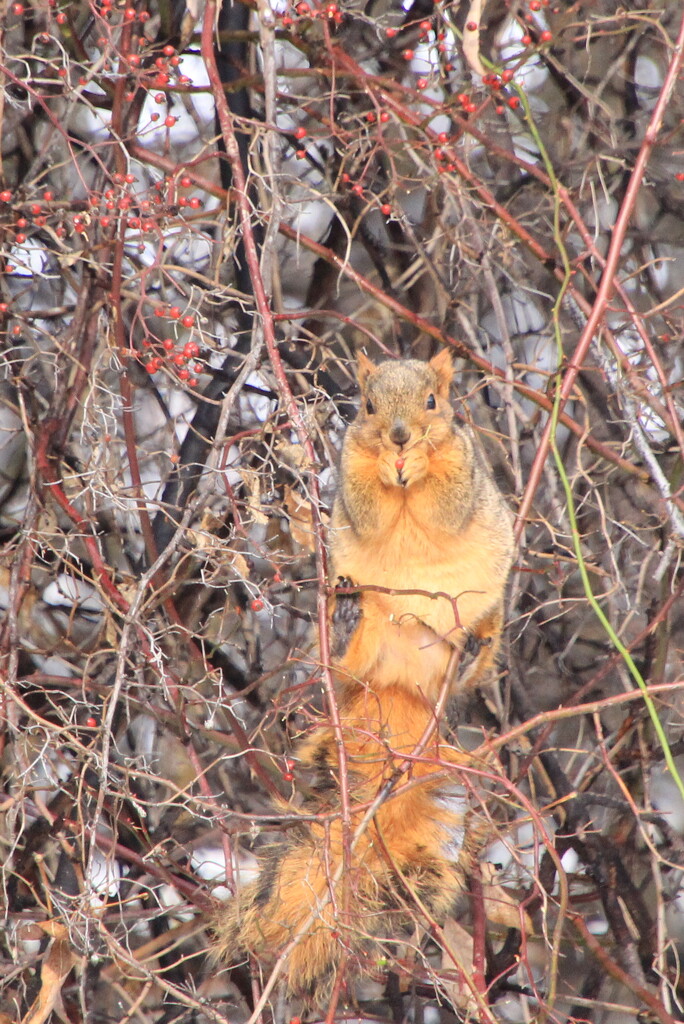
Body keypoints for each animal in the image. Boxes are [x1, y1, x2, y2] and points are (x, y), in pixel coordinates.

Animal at [214, 352, 511, 999]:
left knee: (469, 660)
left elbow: (445, 495)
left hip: (478, 622)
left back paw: (468, 656)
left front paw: (420, 462)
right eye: (368, 406)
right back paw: (346, 625)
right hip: (362, 632)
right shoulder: (350, 478)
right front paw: (387, 467)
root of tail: (400, 687)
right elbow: (367, 498)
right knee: (348, 654)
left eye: (433, 402)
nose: (399, 439)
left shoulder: (465, 472)